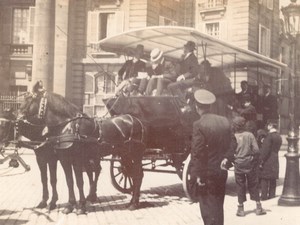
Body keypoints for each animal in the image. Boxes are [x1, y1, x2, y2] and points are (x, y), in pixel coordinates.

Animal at [17, 81, 146, 212]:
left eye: (29, 99)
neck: (68, 126)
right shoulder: (63, 159)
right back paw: (129, 201)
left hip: (135, 155)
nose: (18, 119)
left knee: (138, 175)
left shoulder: (74, 159)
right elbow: (68, 181)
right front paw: (70, 205)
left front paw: (80, 205)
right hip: (124, 155)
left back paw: (134, 203)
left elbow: (79, 181)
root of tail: (136, 120)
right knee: (131, 174)